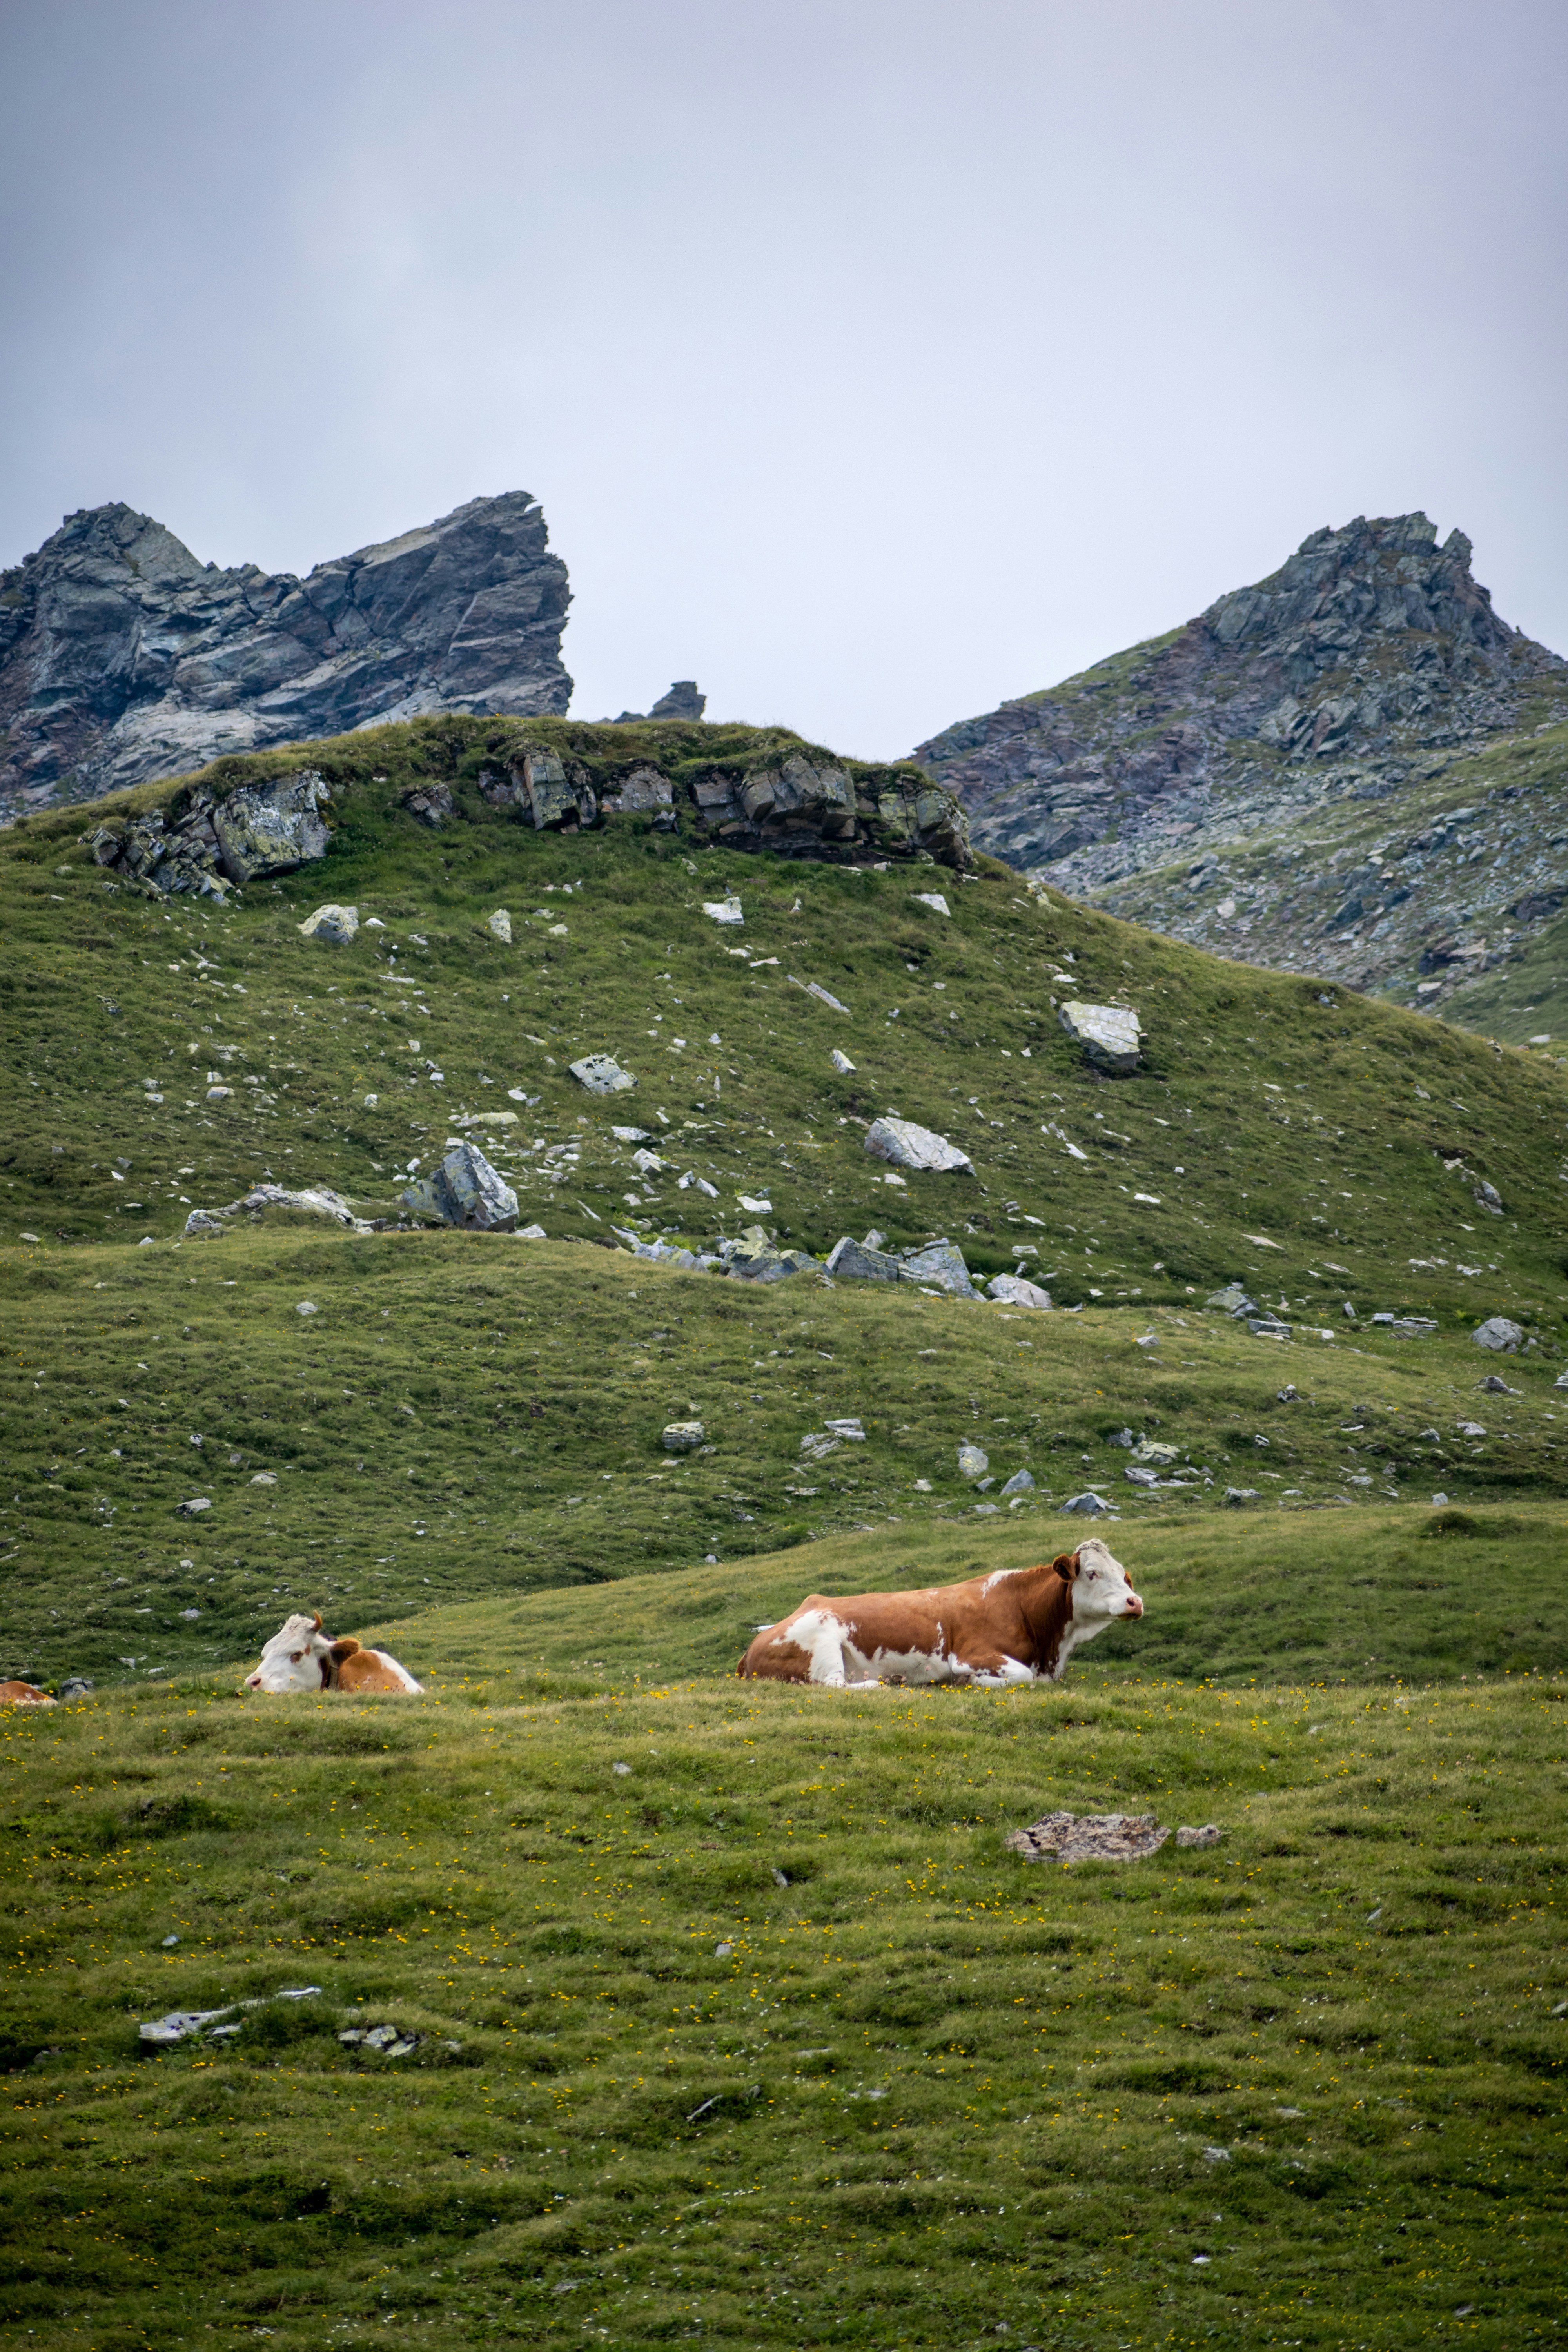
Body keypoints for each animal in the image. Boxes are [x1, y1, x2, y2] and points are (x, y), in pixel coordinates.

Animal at [736, 1541, 1143, 1687]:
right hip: (822, 1640)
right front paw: (973, 1682)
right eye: (1092, 1573)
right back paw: (886, 1683)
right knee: (834, 1685)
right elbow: (1022, 1677)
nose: (1135, 1602)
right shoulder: (972, 1655)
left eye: (1125, 1574)